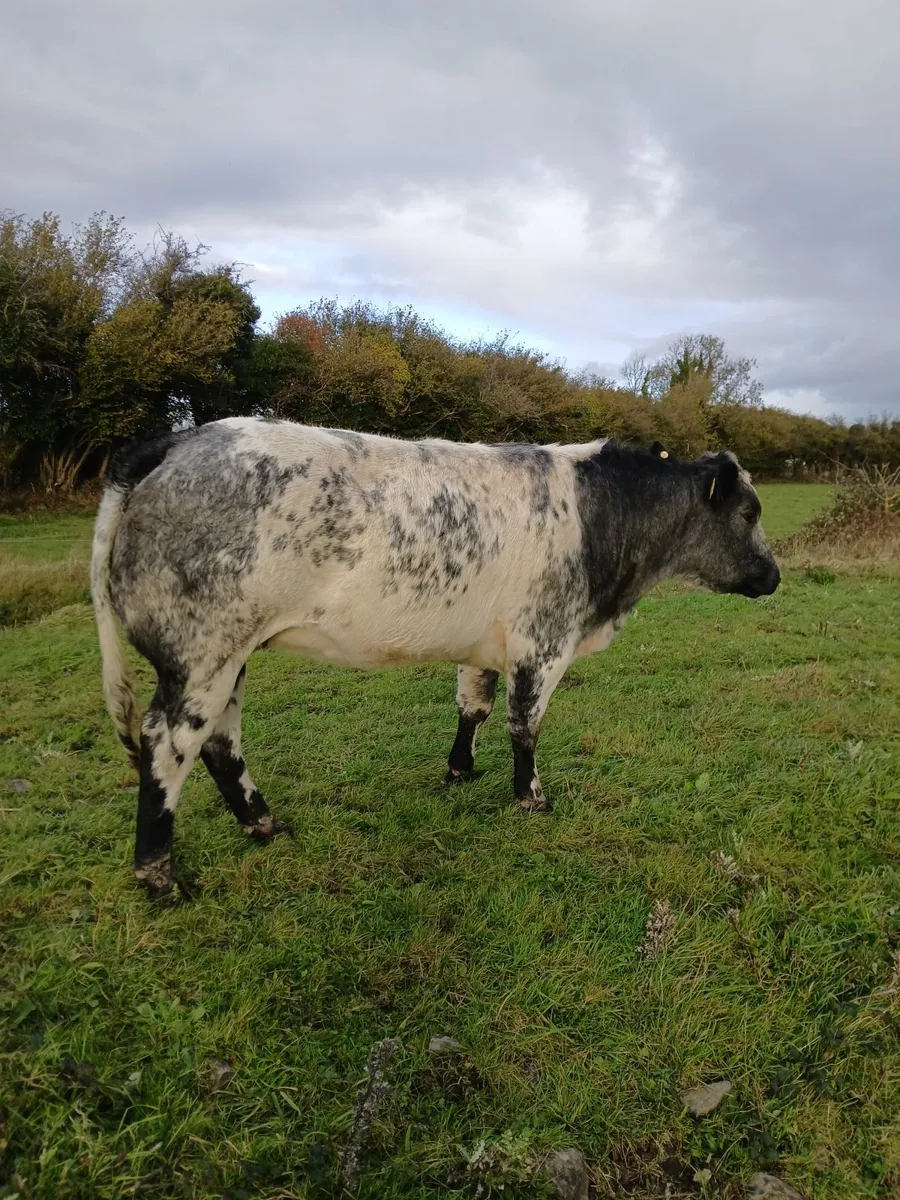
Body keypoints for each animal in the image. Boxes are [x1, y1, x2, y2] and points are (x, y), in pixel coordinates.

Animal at [91, 418, 780, 899]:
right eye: (749, 510)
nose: (774, 576)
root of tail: (179, 441)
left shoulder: (488, 643)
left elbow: (474, 706)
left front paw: (460, 769)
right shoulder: (543, 640)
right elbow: (524, 724)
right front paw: (531, 798)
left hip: (228, 658)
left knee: (219, 741)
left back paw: (263, 825)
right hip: (201, 652)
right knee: (169, 744)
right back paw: (160, 879)